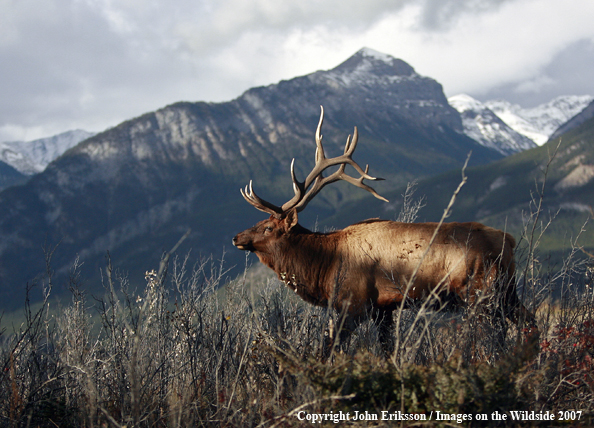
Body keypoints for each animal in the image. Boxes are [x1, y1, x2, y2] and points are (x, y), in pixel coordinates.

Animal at [232, 108, 536, 358]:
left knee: (493, 334)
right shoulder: (384, 307)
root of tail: (508, 240)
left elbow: (330, 348)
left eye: (269, 227)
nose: (236, 237)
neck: (324, 266)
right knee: (528, 321)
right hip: (506, 289)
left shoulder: (353, 303)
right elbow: (387, 349)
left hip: (479, 290)